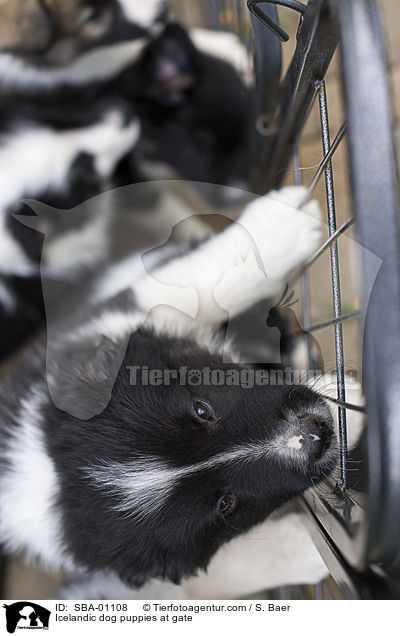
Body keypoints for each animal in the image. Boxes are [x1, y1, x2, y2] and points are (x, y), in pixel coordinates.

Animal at [0, 186, 338, 592]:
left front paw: (281, 225)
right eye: (226, 504)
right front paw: (304, 548)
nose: (315, 433)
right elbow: (217, 575)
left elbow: (192, 288)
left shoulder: (108, 323)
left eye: (202, 409)